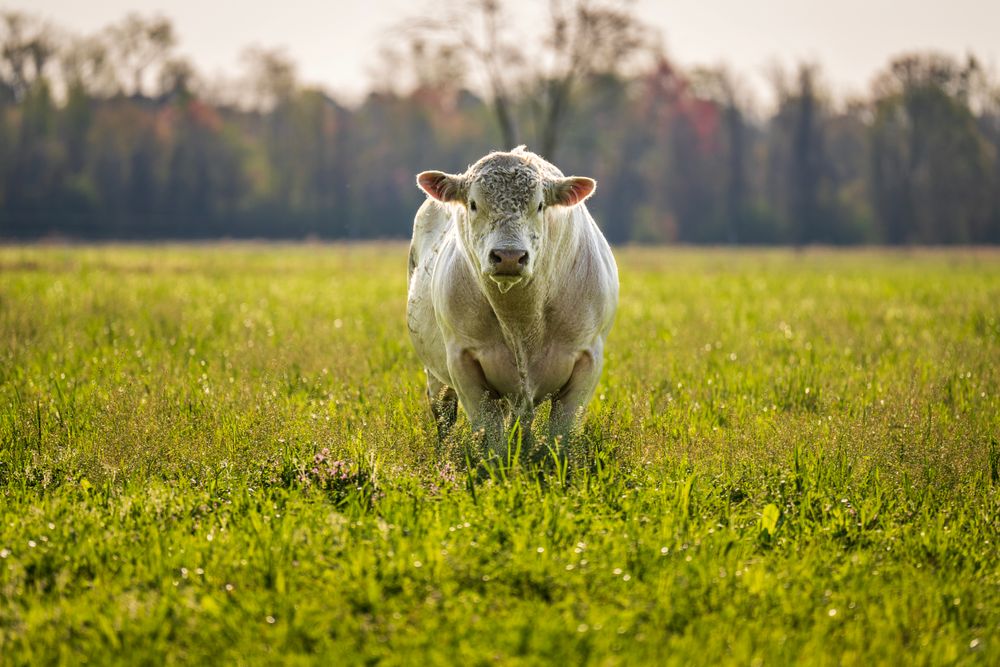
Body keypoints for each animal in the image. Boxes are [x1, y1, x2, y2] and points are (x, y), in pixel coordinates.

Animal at [407, 146, 618, 458]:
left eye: (540, 206)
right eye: (473, 204)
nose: (508, 256)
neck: (521, 319)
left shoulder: (588, 358)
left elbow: (562, 433)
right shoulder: (463, 360)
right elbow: (490, 432)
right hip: (436, 374)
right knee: (444, 414)